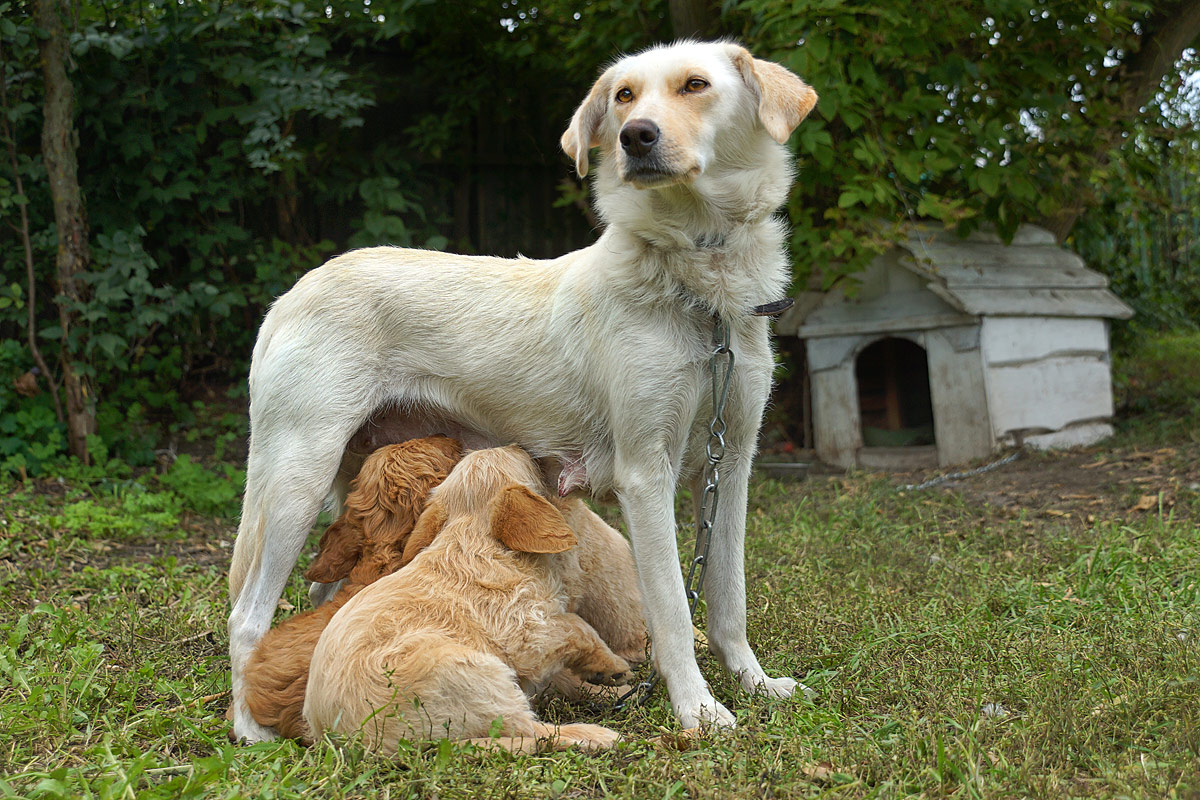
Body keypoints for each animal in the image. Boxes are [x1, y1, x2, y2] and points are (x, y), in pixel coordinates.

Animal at [300, 448, 638, 753]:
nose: (521, 446)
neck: (472, 534)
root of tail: (352, 743)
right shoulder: (529, 631)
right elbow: (577, 627)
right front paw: (613, 668)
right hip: (479, 679)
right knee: (529, 729)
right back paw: (597, 736)